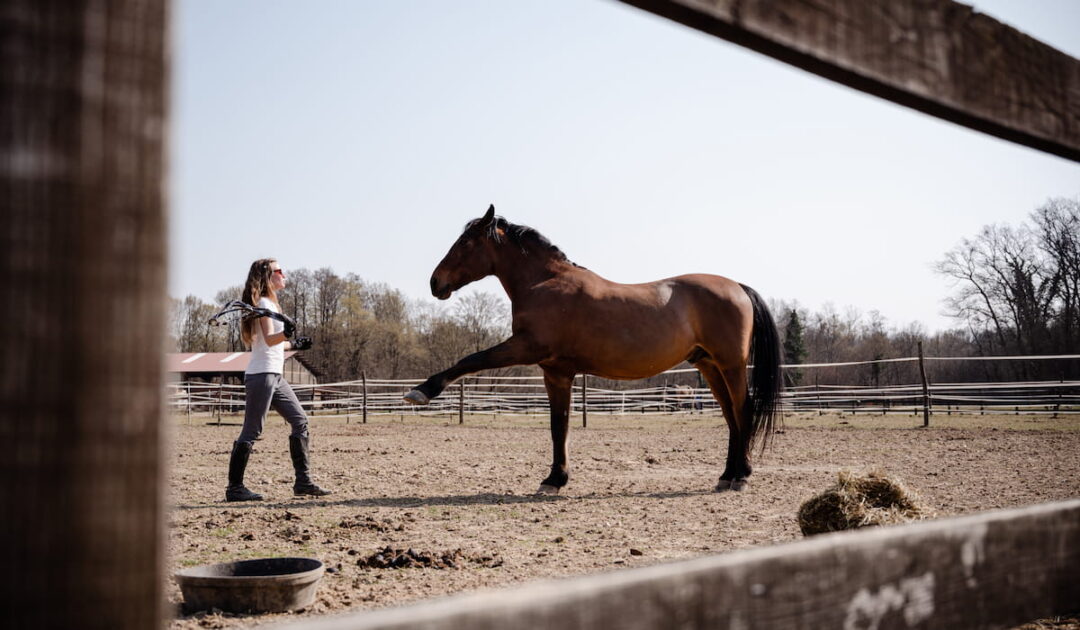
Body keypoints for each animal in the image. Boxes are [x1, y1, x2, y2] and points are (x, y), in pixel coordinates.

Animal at [404, 205, 782, 494]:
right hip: (709, 366)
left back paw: (741, 476)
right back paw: (727, 476)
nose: (436, 282)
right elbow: (559, 426)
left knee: (743, 410)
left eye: (466, 242)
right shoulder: (555, 372)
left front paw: (422, 391)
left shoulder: (525, 348)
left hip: (730, 365)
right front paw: (555, 479)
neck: (544, 283)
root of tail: (738, 287)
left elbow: (471, 359)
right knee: (730, 416)